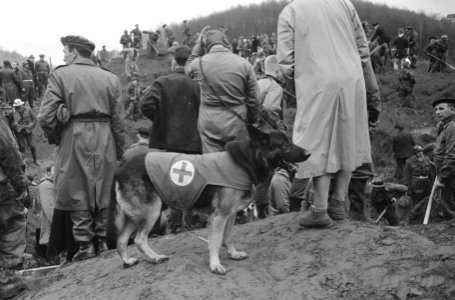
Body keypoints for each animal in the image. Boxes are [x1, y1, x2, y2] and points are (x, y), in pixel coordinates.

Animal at [112, 126, 310, 274]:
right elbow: (215, 242)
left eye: (289, 140)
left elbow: (228, 237)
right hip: (151, 212)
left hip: (137, 215)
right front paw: (215, 265)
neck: (244, 162)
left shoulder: (230, 215)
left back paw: (127, 261)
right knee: (139, 239)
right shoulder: (219, 216)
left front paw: (233, 254)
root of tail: (121, 168)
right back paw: (154, 257)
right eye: (284, 144)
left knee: (121, 240)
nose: (309, 153)